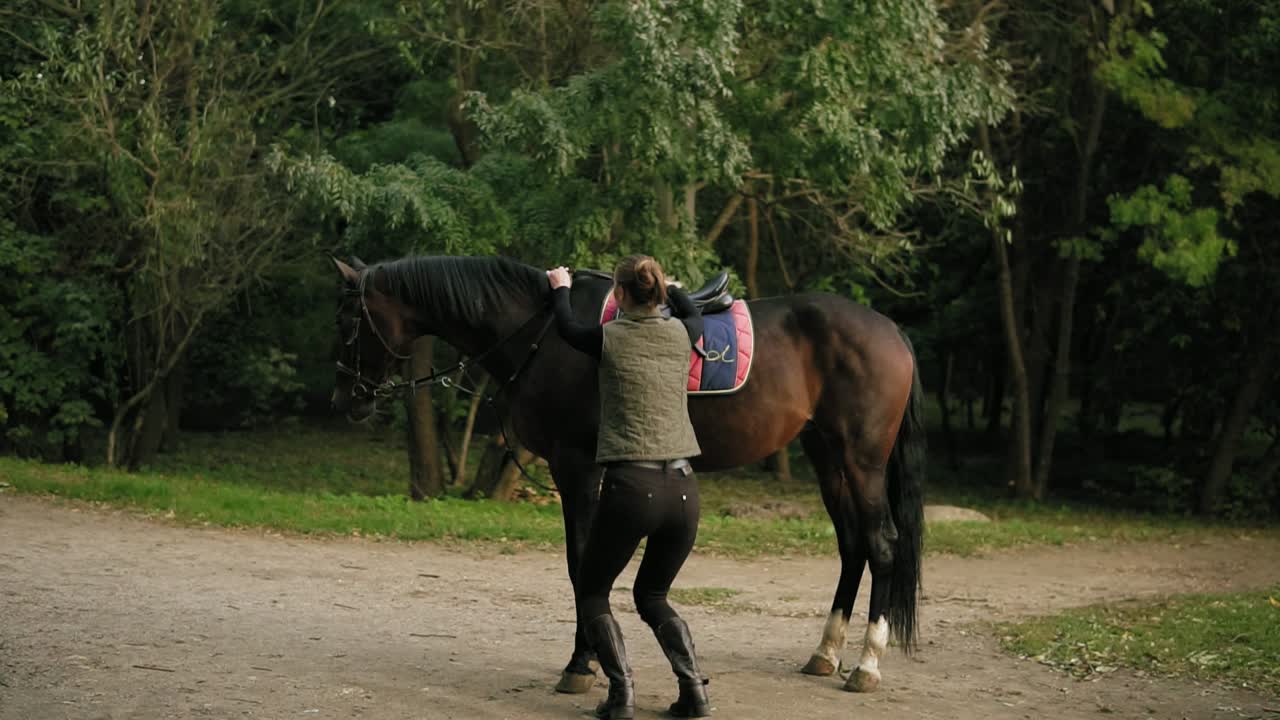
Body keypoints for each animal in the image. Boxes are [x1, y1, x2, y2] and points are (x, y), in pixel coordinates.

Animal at [328, 254, 925, 695]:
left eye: (347, 322)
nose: (345, 399)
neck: (544, 333)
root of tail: (892, 330)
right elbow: (583, 566)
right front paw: (587, 659)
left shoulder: (575, 467)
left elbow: (582, 566)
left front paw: (581, 664)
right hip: (827, 455)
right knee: (852, 546)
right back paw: (825, 653)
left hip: (862, 460)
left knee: (882, 544)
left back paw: (866, 665)